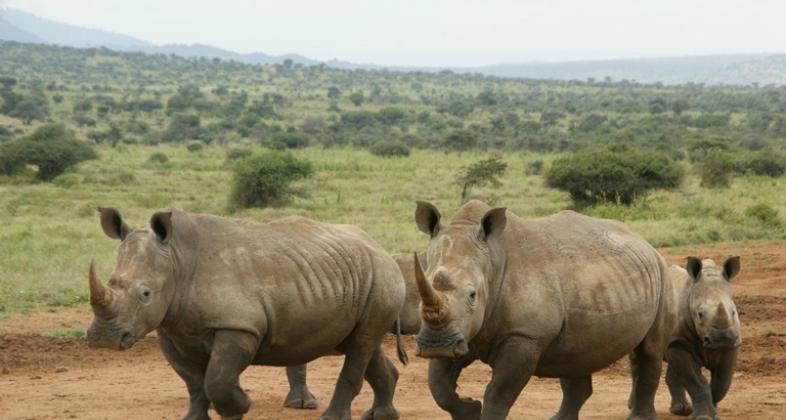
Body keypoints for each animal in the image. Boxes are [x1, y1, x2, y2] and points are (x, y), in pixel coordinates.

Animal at [86, 208, 404, 420]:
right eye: (111, 282)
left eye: (146, 294)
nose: (103, 338)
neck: (176, 259)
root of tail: (379, 247)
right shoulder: (170, 328)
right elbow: (193, 383)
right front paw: (195, 418)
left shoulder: (238, 326)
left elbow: (217, 379)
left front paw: (240, 406)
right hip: (355, 276)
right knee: (360, 343)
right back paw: (381, 415)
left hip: (382, 275)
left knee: (361, 344)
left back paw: (334, 418)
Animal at [660, 258, 740, 418]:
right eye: (700, 314)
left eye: (733, 312)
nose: (722, 339)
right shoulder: (679, 343)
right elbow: (696, 382)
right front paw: (704, 416)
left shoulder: (732, 345)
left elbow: (722, 383)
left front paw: (714, 411)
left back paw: (681, 410)